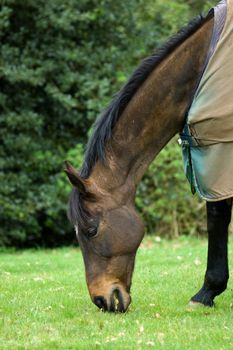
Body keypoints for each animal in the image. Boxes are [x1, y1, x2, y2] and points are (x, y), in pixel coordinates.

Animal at [64, 7, 232, 312]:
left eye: (91, 230)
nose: (102, 300)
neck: (205, 61)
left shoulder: (220, 151)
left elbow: (217, 215)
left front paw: (206, 292)